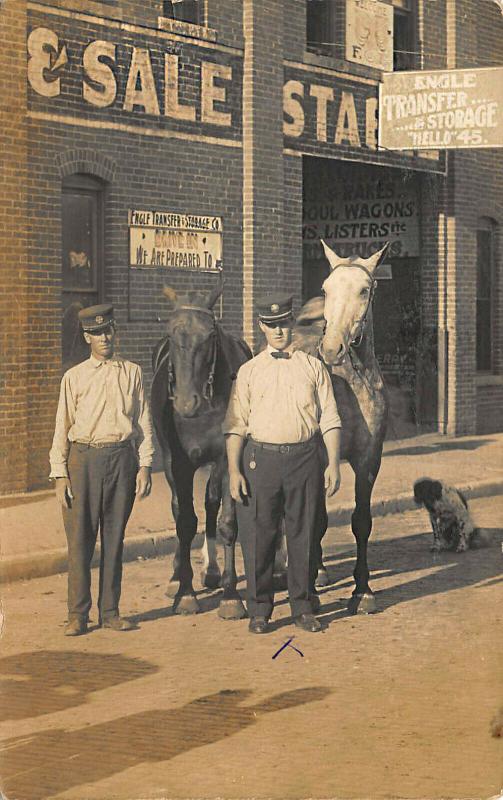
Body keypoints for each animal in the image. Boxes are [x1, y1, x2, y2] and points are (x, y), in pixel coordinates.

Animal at [150, 280, 252, 620]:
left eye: (210, 336)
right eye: (170, 334)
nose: (186, 402)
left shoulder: (225, 459)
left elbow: (226, 521)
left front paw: (231, 596)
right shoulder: (176, 463)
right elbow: (184, 521)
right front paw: (185, 593)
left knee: (210, 503)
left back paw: (212, 571)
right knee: (179, 508)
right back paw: (176, 576)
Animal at [294, 239, 392, 612]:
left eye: (365, 290)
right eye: (326, 288)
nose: (332, 348)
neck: (353, 382)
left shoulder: (369, 459)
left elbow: (361, 522)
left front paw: (362, 590)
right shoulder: (322, 459)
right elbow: (317, 521)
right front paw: (309, 588)